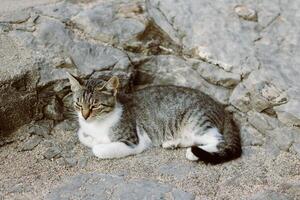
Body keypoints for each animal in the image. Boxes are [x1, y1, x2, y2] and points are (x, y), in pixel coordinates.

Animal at [67, 73, 241, 164]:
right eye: (78, 104)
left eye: (95, 106)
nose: (85, 116)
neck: (97, 124)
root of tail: (221, 107)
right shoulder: (84, 129)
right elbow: (81, 135)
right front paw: (92, 138)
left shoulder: (134, 141)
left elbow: (98, 149)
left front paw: (98, 143)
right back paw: (173, 143)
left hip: (196, 121)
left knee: (219, 141)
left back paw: (193, 153)